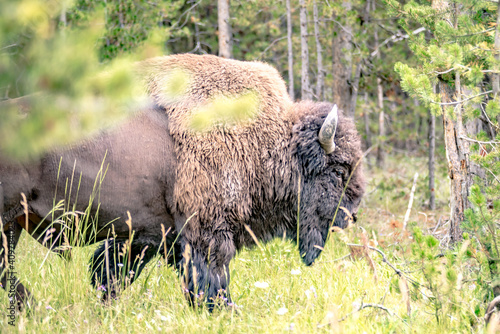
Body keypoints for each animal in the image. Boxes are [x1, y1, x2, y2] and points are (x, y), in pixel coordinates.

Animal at [1, 52, 366, 310]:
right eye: (338, 170)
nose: (351, 214)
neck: (269, 141)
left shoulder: (148, 234)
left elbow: (110, 273)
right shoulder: (206, 233)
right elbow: (212, 281)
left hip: (13, 225)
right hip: (7, 222)